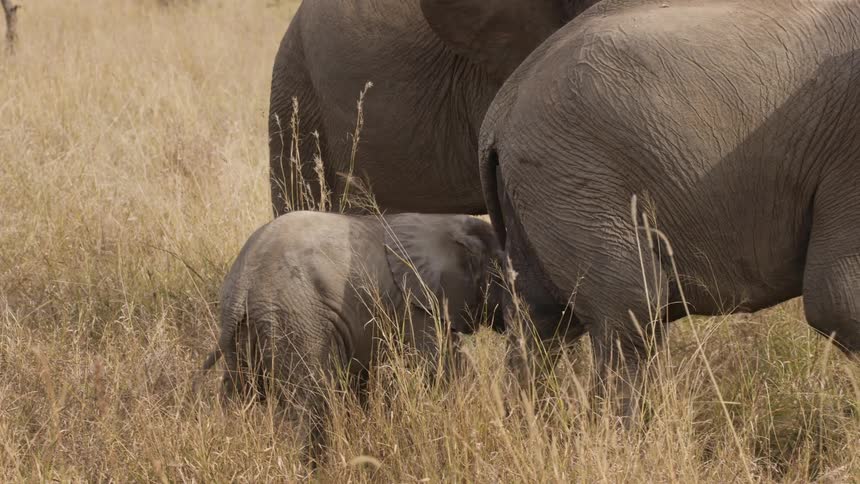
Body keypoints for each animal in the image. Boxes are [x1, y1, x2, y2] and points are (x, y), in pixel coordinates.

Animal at [201, 211, 504, 456]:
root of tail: (243, 283)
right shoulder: (416, 304)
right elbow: (445, 365)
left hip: (248, 330)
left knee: (239, 392)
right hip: (295, 318)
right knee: (310, 401)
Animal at [478, 0, 860, 413]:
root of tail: (498, 115)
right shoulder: (849, 148)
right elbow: (840, 299)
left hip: (540, 194)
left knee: (541, 320)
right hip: (571, 178)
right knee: (633, 313)